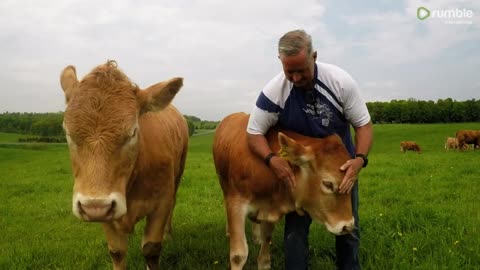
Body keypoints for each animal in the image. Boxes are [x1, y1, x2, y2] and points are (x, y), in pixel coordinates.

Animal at [59, 61, 188, 270]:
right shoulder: (106, 214)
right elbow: (117, 252)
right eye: (68, 132)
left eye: (133, 132)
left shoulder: (161, 203)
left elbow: (151, 249)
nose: (94, 207)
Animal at [212, 113, 354, 268]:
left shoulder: (270, 206)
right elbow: (238, 255)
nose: (348, 226)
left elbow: (266, 241)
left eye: (352, 181)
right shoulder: (236, 204)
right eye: (328, 184)